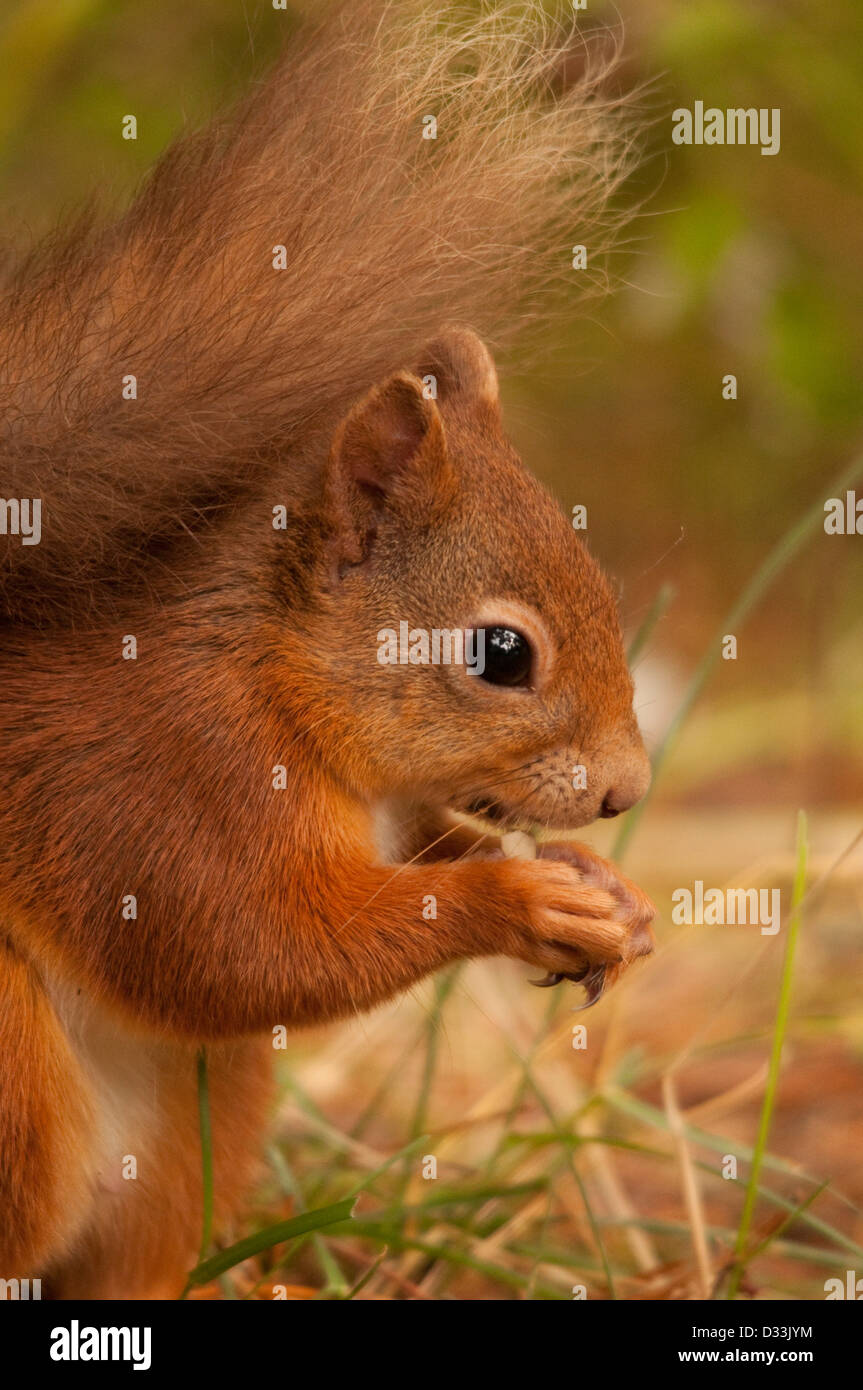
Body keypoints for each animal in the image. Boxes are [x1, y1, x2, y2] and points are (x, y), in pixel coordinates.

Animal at [0, 2, 653, 1301]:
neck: (279, 691)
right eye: (501, 652)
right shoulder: (166, 791)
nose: (625, 791)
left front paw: (604, 894)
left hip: (193, 1115)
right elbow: (254, 950)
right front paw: (513, 898)